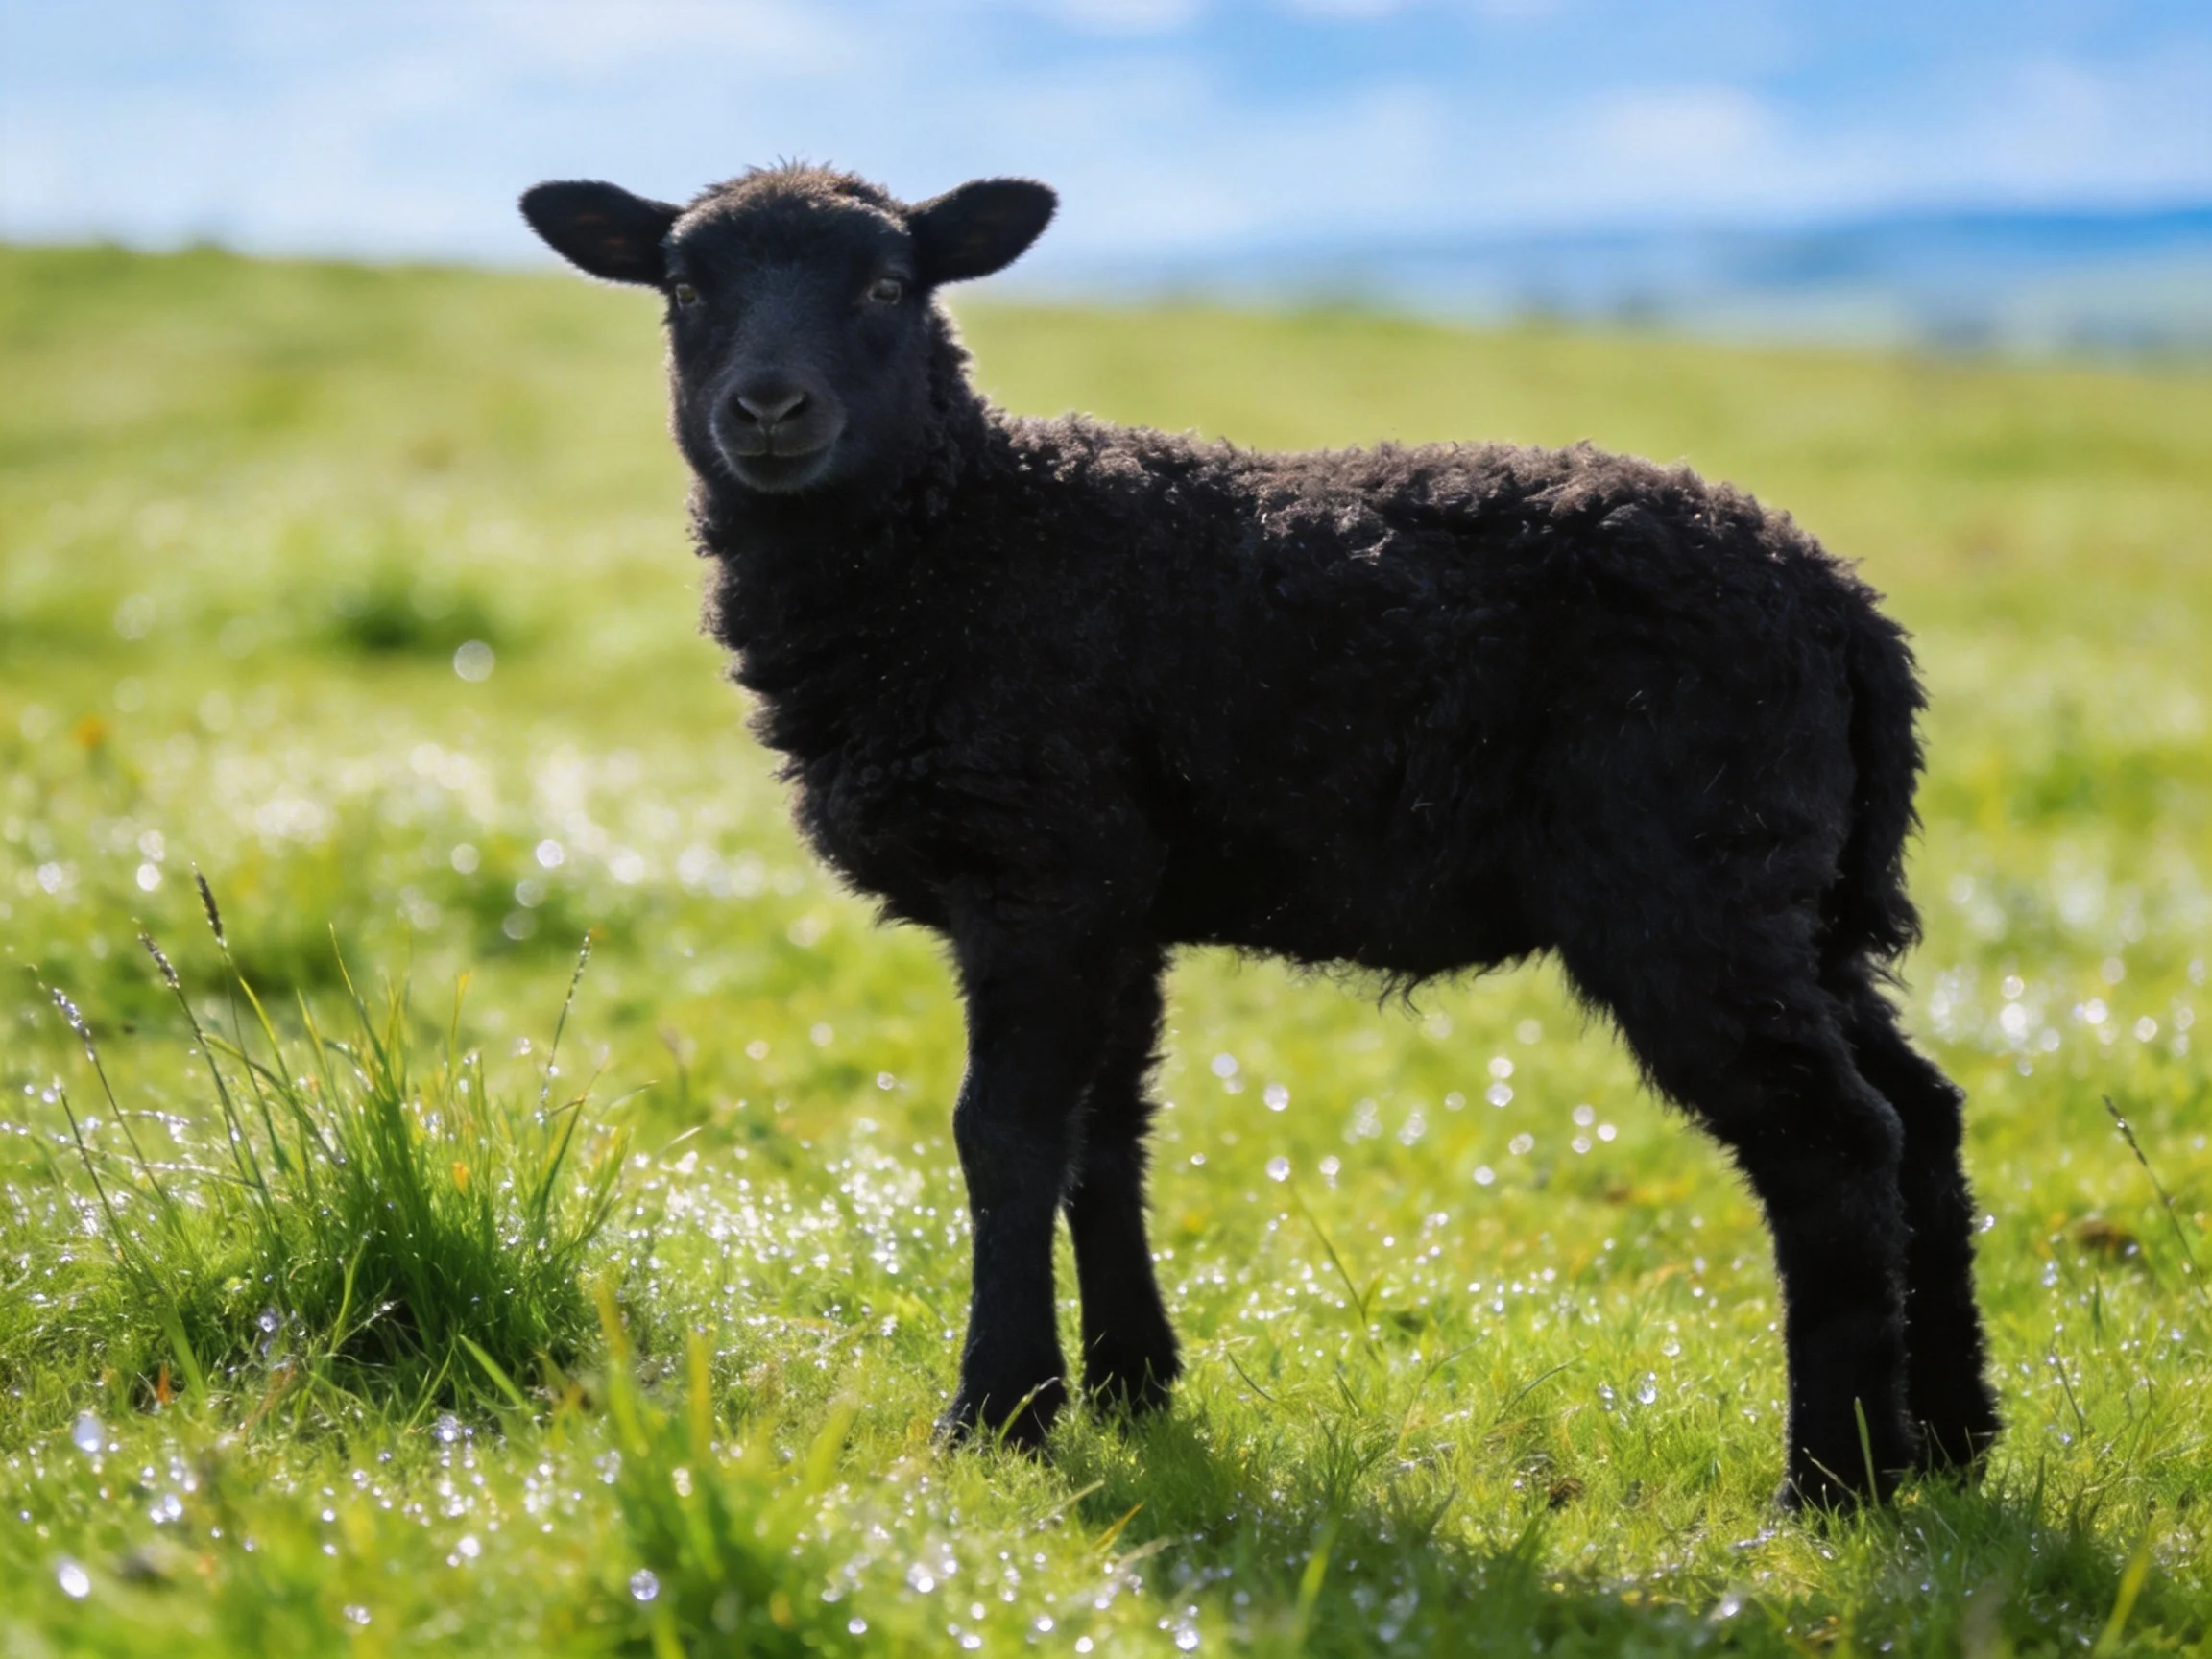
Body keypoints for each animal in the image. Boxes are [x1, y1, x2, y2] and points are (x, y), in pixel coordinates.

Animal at [520, 163, 2000, 1509]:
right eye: (685, 290)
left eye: (890, 287)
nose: (770, 410)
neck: (963, 542)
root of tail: (1846, 613)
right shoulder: (1114, 890)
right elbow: (1102, 1130)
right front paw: (1129, 1382)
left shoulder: (1038, 867)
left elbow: (1003, 1132)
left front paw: (1000, 1412)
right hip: (1797, 894)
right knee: (1921, 1114)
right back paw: (1953, 1441)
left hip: (1689, 877)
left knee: (1834, 1140)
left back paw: (1835, 1480)